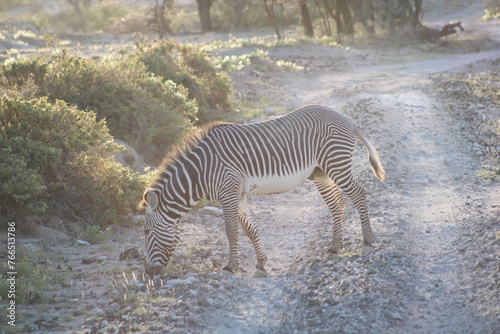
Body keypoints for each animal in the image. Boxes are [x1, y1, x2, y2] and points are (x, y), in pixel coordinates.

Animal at [141, 105, 386, 278]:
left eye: (145, 231)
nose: (148, 273)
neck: (200, 171)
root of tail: (347, 118)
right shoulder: (237, 194)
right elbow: (249, 230)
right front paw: (260, 265)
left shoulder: (228, 192)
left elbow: (231, 231)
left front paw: (230, 267)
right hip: (321, 172)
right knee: (337, 203)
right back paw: (335, 247)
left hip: (336, 163)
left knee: (359, 195)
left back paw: (367, 241)